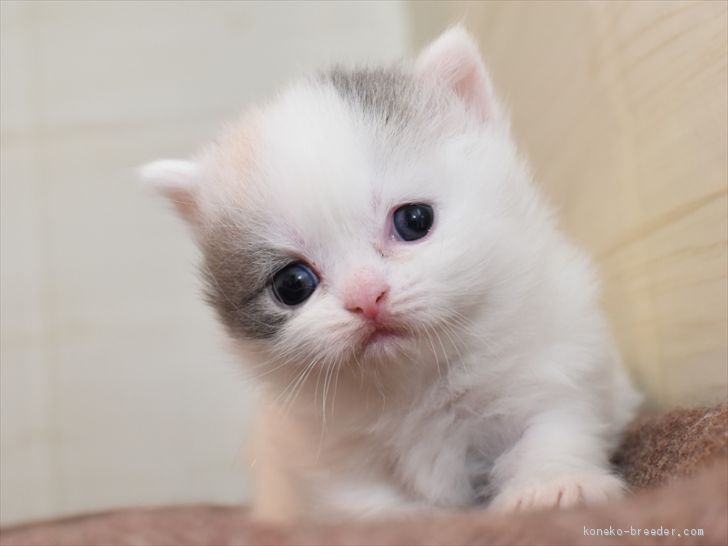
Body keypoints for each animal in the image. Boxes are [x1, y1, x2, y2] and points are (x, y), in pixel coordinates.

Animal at [142, 28, 644, 520]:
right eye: (292, 284)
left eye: (414, 221)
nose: (367, 297)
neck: (418, 383)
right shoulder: (328, 459)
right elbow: (373, 508)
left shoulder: (560, 362)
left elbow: (556, 426)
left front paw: (555, 487)